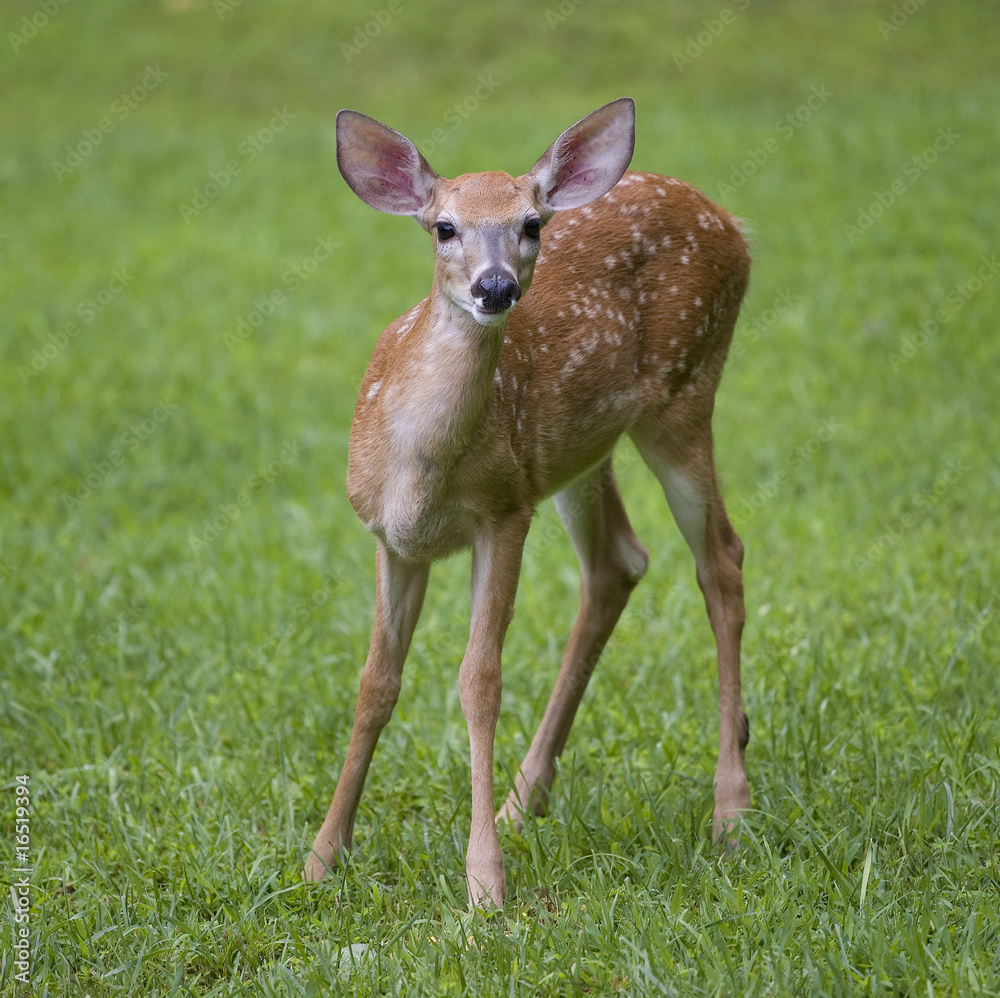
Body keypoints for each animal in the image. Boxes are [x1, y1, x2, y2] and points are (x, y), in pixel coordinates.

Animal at [304, 97, 751, 907]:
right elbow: (376, 683)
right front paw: (324, 855)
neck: (420, 475)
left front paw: (484, 883)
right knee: (618, 562)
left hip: (684, 393)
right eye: (444, 227)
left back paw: (729, 809)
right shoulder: (390, 539)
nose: (496, 287)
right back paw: (524, 799)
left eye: (532, 223)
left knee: (720, 562)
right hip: (581, 455)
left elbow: (479, 679)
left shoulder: (505, 510)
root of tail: (730, 222)